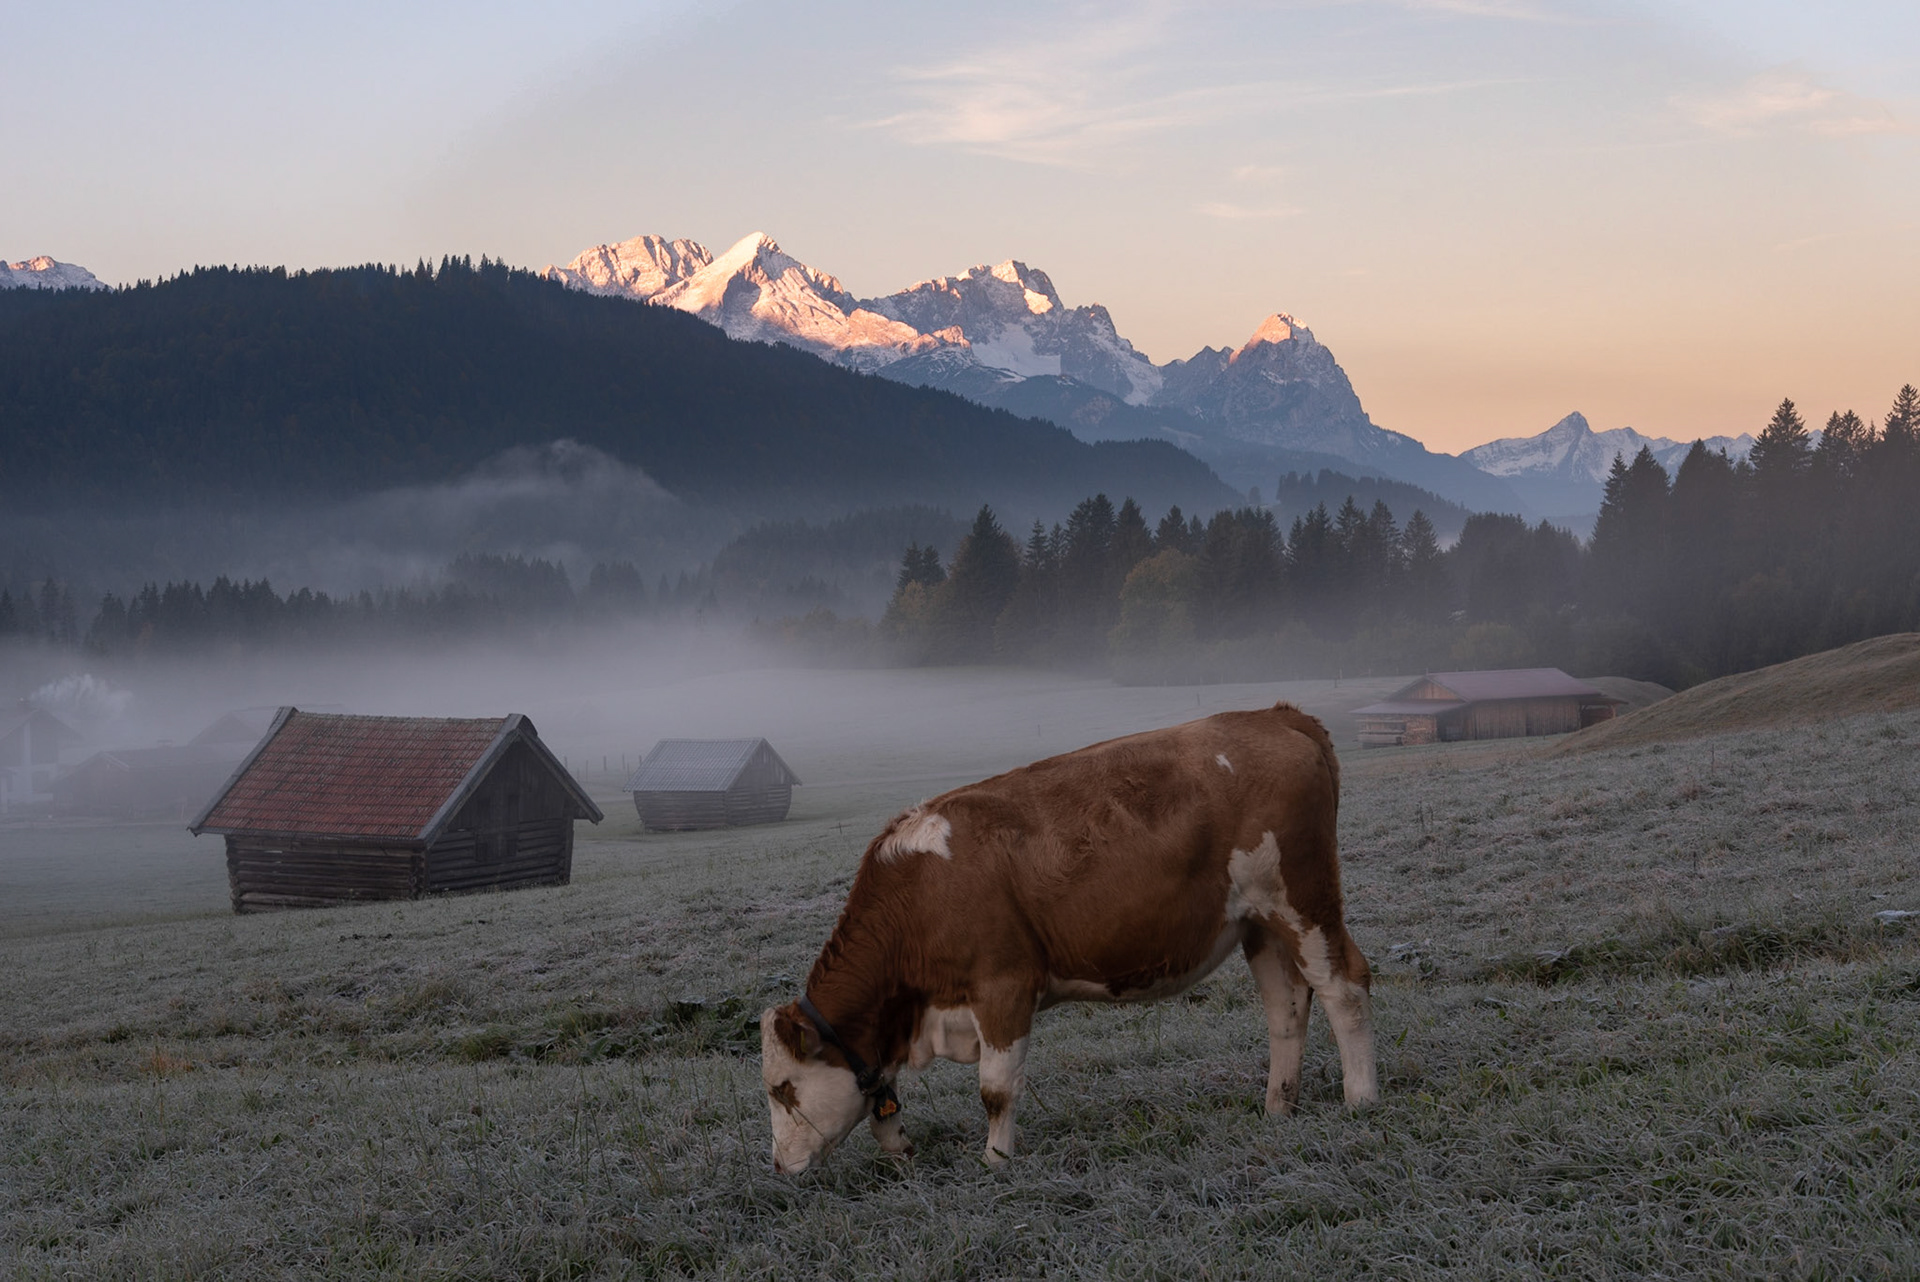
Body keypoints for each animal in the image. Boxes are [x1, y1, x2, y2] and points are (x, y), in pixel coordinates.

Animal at [759, 702, 1376, 1173]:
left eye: (782, 1089)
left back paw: (1361, 1099)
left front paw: (996, 1162)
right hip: (1261, 923)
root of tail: (1275, 714)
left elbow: (996, 1088)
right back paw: (1277, 1107)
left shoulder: (1003, 985)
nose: (780, 1165)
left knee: (1344, 985)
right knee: (1286, 1007)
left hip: (1304, 900)